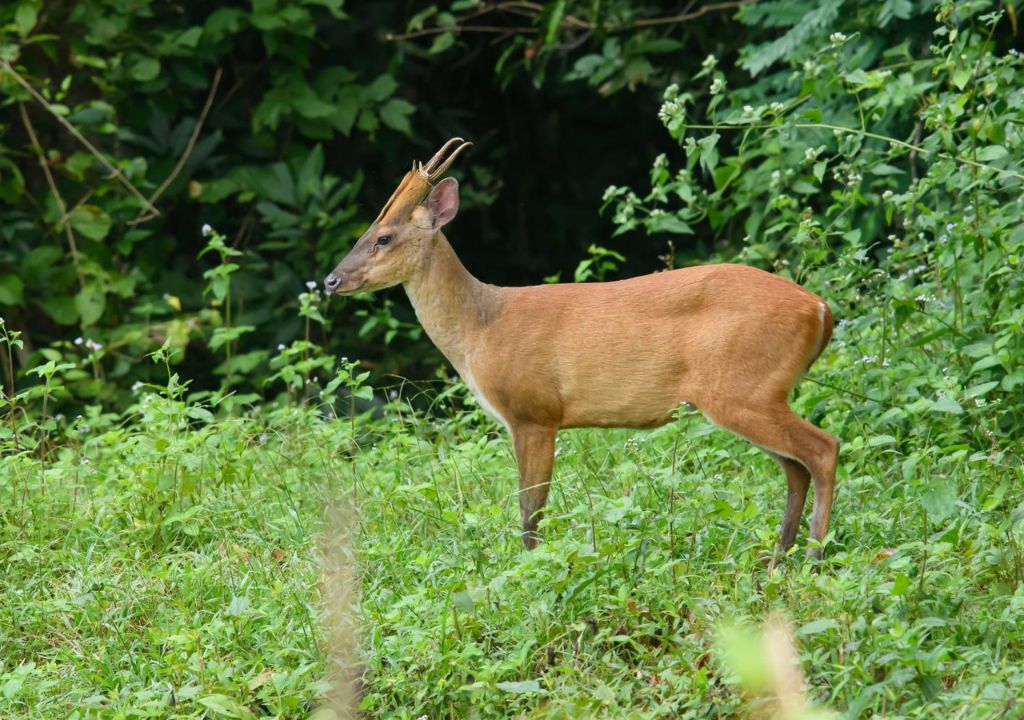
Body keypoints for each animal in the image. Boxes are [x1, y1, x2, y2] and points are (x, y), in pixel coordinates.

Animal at [324, 138, 839, 559]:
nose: (331, 280)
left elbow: (531, 507)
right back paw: (779, 558)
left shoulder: (533, 411)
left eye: (383, 237)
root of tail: (819, 308)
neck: (481, 330)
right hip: (750, 393)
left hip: (743, 385)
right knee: (796, 468)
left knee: (823, 448)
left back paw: (813, 558)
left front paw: (530, 570)